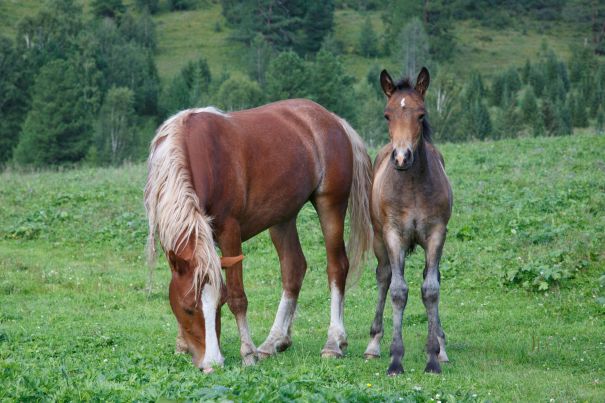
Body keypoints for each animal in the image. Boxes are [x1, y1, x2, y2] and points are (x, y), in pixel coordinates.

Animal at [146, 98, 372, 372]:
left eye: (220, 303)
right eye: (188, 308)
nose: (212, 363)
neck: (197, 153)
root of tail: (332, 119)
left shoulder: (229, 232)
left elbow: (238, 297)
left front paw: (247, 353)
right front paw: (181, 344)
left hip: (330, 205)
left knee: (336, 267)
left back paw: (333, 342)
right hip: (283, 218)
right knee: (293, 269)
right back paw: (274, 341)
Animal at [360, 67, 450, 376]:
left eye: (421, 114)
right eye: (387, 115)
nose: (401, 158)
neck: (412, 187)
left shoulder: (436, 234)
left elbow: (431, 290)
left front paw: (433, 357)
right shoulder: (393, 235)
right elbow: (398, 291)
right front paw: (395, 359)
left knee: (431, 277)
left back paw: (441, 344)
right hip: (378, 240)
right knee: (384, 277)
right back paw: (373, 344)